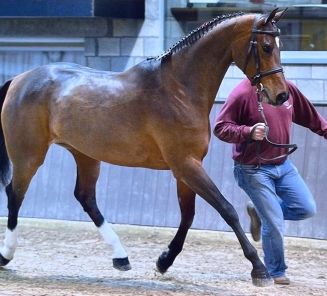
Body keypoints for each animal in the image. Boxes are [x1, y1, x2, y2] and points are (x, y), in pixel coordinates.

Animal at [0, 8, 288, 286]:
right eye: (266, 47)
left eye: (279, 45)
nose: (282, 95)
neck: (179, 89)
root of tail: (19, 80)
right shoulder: (186, 164)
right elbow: (227, 210)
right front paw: (259, 269)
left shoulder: (186, 168)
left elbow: (188, 215)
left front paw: (164, 261)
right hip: (29, 156)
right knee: (15, 194)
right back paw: (6, 254)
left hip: (85, 155)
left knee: (85, 197)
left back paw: (121, 256)